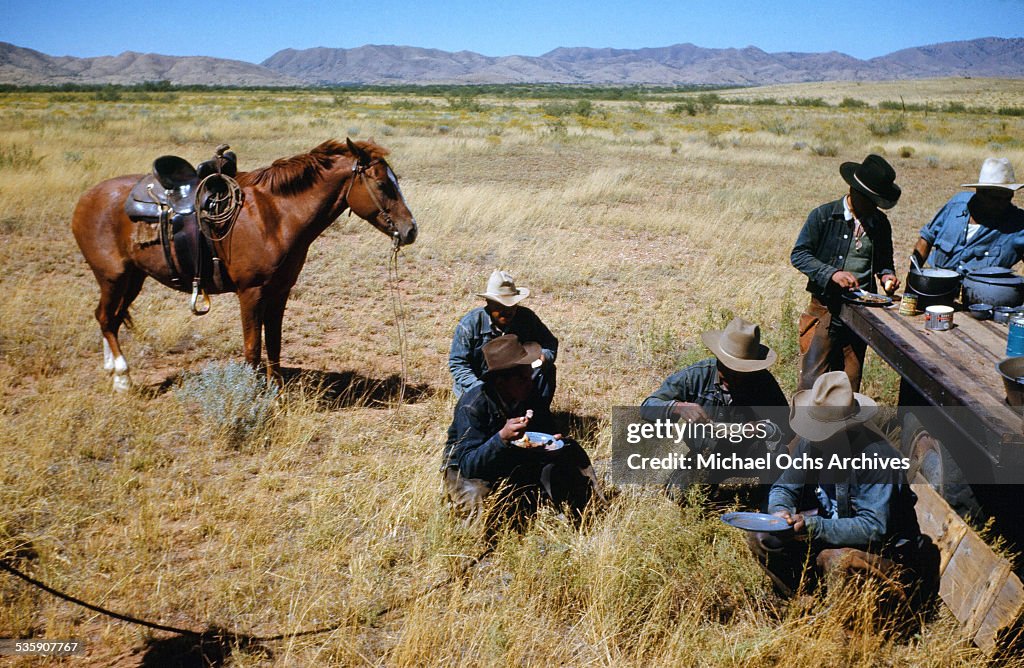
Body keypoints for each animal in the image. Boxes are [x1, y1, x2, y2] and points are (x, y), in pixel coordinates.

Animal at [71, 141, 415, 391]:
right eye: (383, 185)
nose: (411, 230)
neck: (274, 215)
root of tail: (86, 197)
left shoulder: (279, 292)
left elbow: (274, 344)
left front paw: (276, 389)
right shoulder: (251, 292)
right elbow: (253, 348)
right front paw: (251, 393)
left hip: (134, 277)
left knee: (111, 318)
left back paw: (111, 370)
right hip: (112, 277)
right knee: (105, 317)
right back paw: (122, 377)